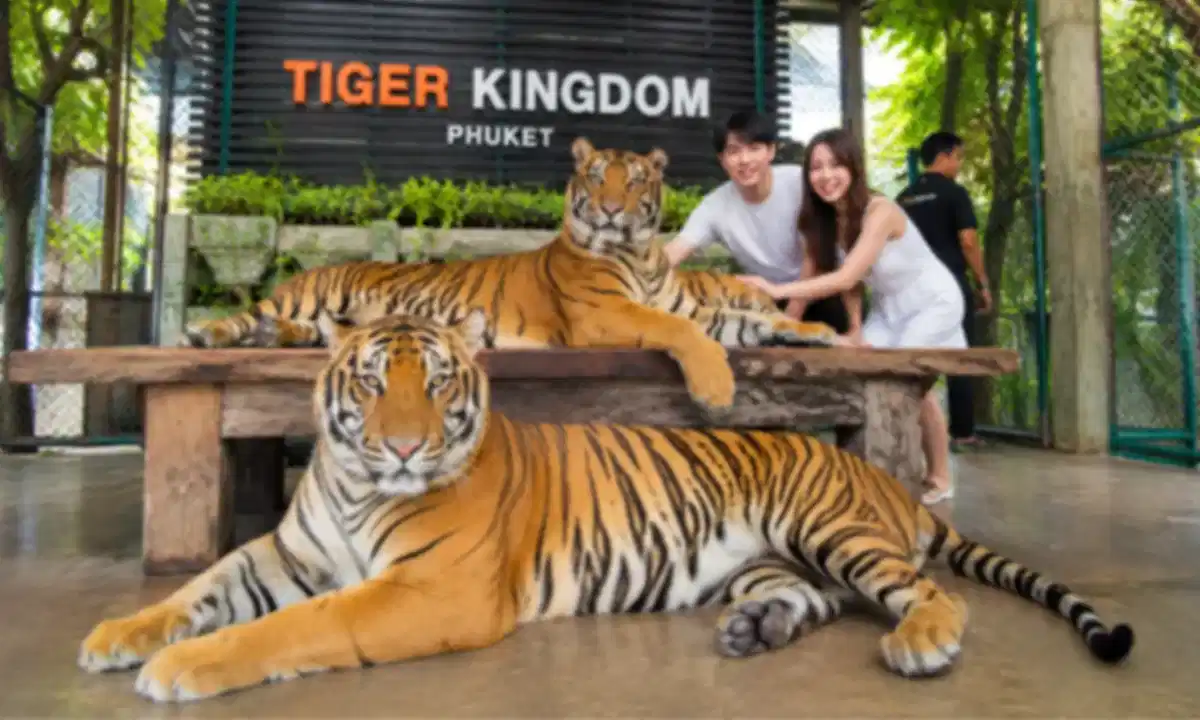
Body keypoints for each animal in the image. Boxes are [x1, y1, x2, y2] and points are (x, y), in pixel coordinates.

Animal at [80, 311, 1134, 704]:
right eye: (375, 383)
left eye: (437, 384)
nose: (407, 446)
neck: (353, 483)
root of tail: (881, 484)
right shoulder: (284, 554)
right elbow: (201, 589)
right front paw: (119, 635)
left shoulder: (429, 592)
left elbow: (294, 626)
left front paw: (180, 667)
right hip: (770, 554)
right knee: (821, 596)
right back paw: (755, 628)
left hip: (828, 525)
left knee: (921, 590)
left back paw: (922, 642)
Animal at [179, 137, 837, 412]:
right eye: (597, 176)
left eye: (635, 181)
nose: (612, 209)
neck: (640, 253)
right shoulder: (610, 315)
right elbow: (689, 336)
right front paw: (716, 390)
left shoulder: (688, 305)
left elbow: (742, 319)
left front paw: (815, 333)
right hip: (301, 297)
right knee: (246, 315)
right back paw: (205, 334)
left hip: (324, 320)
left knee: (302, 332)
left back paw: (270, 339)